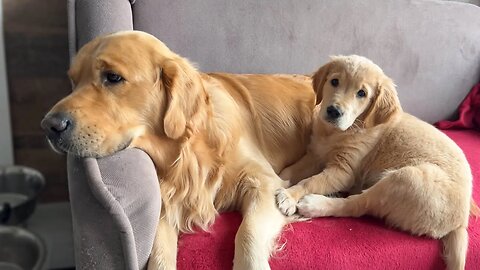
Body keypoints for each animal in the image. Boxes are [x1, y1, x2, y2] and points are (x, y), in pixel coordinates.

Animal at [42, 30, 316, 268]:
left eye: (113, 77)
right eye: (74, 81)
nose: (49, 126)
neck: (188, 149)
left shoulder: (265, 182)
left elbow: (247, 232)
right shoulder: (166, 206)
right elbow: (159, 253)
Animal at [274, 54, 476, 270]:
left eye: (362, 93)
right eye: (334, 81)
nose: (334, 111)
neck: (338, 132)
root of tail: (461, 222)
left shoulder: (343, 171)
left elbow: (310, 181)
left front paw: (289, 195)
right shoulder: (315, 155)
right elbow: (290, 171)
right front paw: (276, 179)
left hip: (406, 178)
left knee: (355, 206)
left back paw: (315, 204)